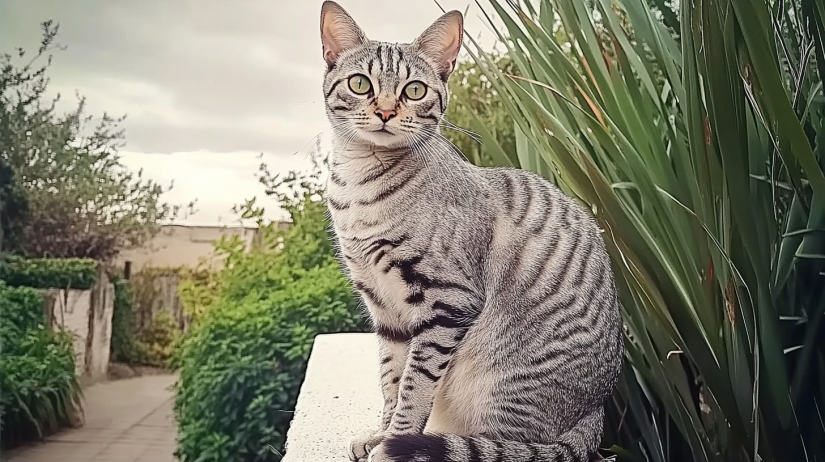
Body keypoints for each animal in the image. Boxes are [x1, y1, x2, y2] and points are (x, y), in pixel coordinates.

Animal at [318, 1, 620, 460]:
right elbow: (391, 381)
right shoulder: (384, 309)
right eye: (360, 83)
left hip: (500, 387)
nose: (386, 112)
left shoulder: (446, 302)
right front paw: (380, 434)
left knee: (502, 446)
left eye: (414, 90)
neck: (359, 188)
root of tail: (595, 412)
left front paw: (393, 443)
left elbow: (413, 389)